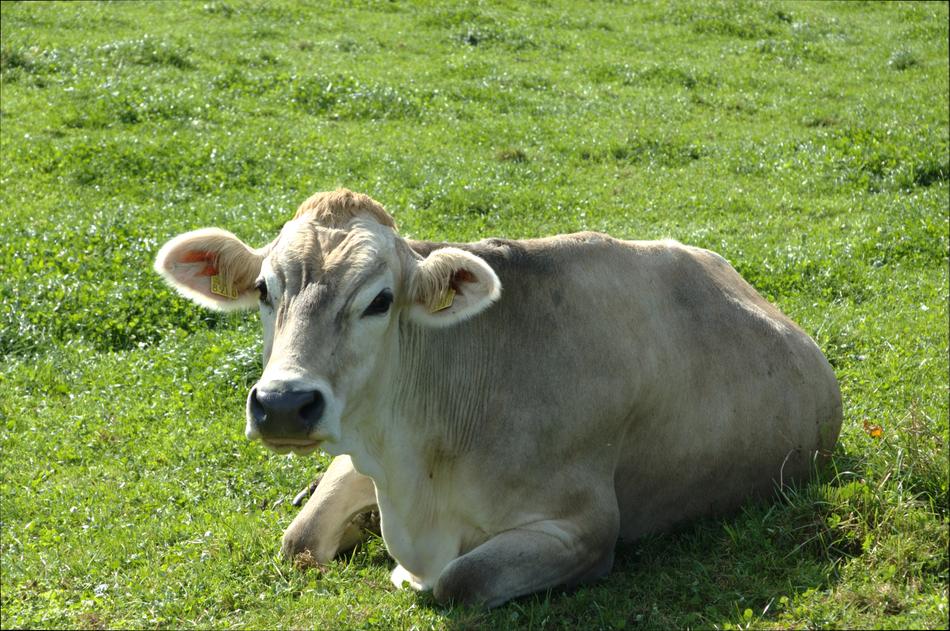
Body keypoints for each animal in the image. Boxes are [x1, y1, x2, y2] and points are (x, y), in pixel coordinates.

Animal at [154, 189, 842, 607]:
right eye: (265, 290)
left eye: (380, 300)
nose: (284, 404)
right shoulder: (364, 448)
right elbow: (298, 545)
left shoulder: (587, 528)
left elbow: (462, 578)